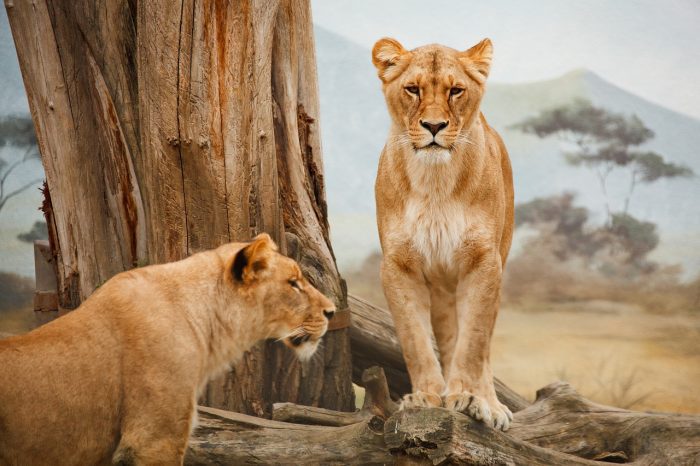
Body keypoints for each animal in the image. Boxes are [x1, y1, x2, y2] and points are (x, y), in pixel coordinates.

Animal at [372, 37, 515, 430]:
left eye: (455, 91)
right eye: (412, 89)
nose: (434, 126)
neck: (435, 180)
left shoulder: (483, 262)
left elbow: (474, 343)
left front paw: (467, 397)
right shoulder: (398, 266)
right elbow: (415, 340)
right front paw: (426, 396)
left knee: (483, 345)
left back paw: (490, 404)